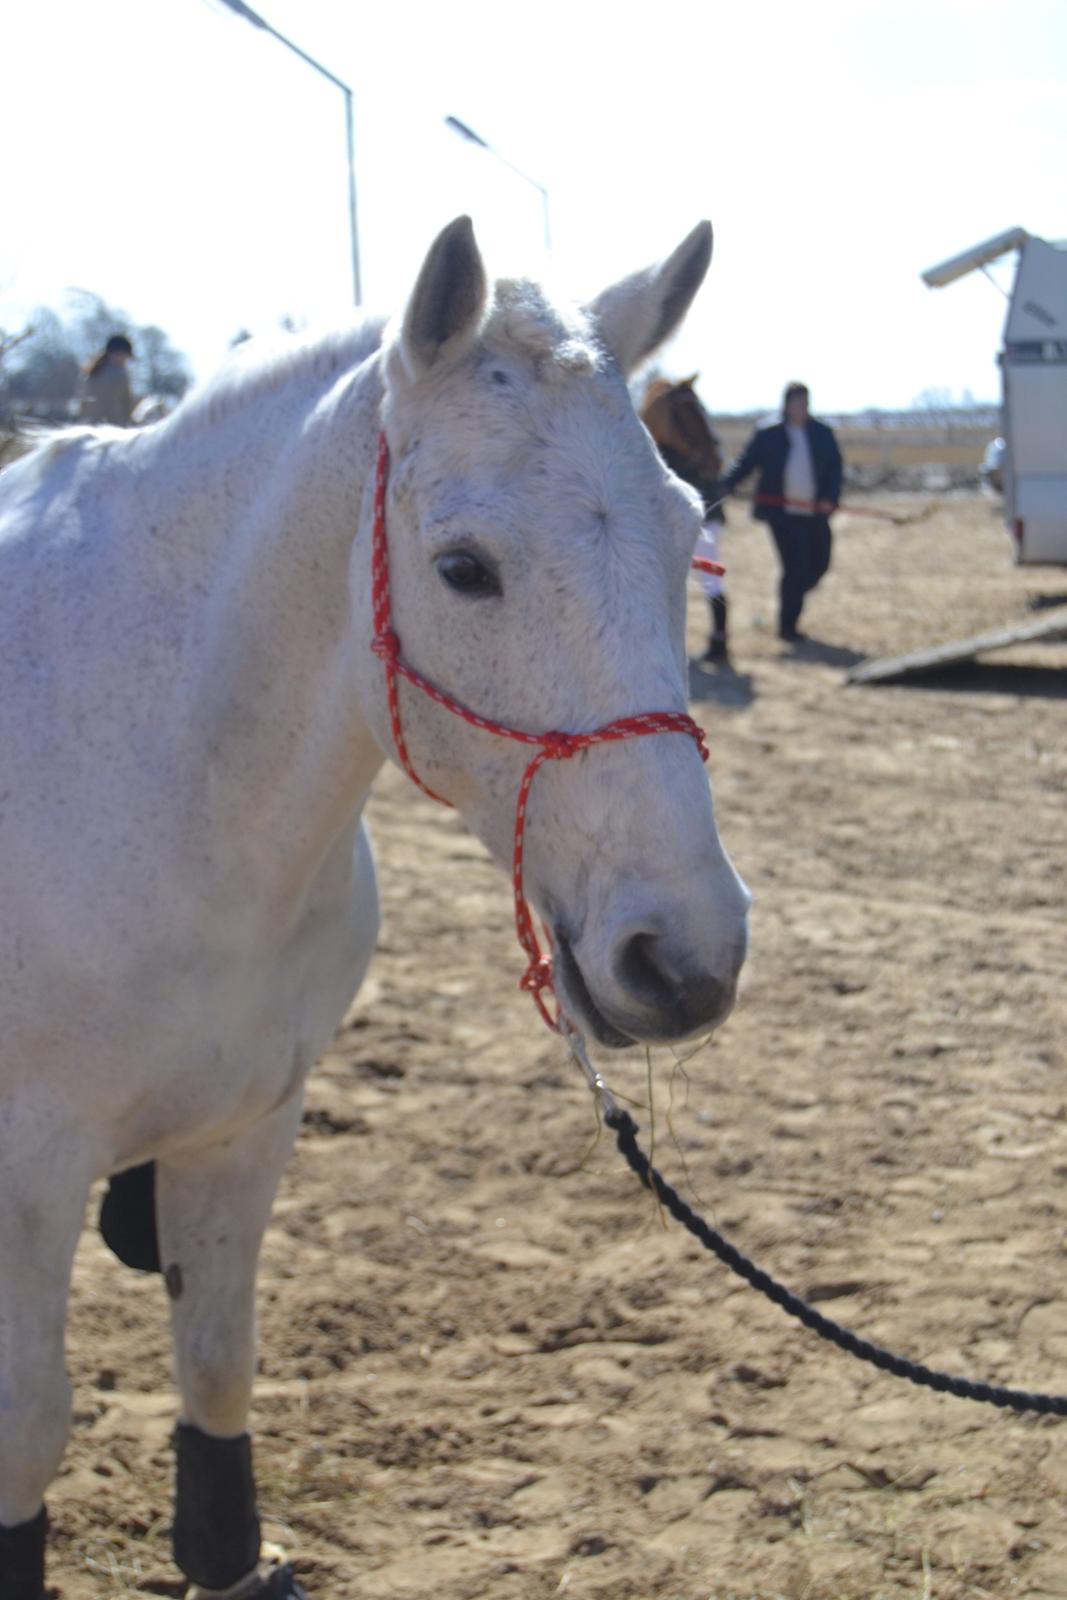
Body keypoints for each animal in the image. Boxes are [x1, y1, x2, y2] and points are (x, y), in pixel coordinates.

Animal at [0, 216, 751, 1600]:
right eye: (462, 568)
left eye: (689, 538)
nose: (684, 957)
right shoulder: (27, 1168)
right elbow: (27, 1427)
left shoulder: (244, 1123)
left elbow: (218, 1363)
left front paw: (228, 1551)